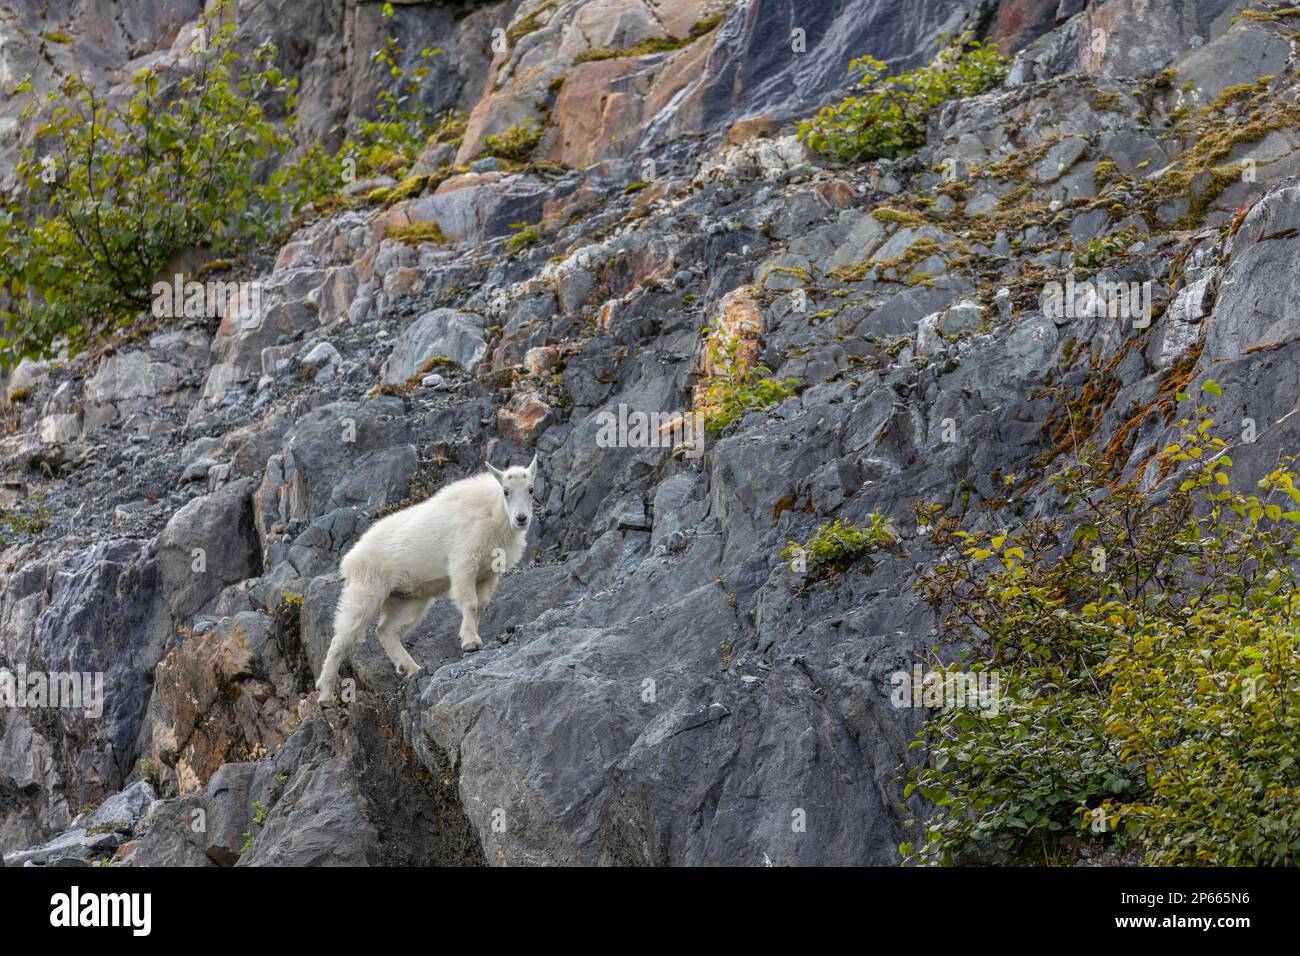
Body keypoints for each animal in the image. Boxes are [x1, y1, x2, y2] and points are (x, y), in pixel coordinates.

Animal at [314, 460, 538, 697]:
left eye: (531, 489)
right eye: (506, 491)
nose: (521, 518)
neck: (494, 514)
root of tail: (350, 559)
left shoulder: (488, 574)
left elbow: (481, 605)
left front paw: (472, 639)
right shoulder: (464, 563)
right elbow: (470, 603)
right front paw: (469, 642)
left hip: (410, 599)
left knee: (385, 631)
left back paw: (411, 668)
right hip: (366, 590)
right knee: (342, 638)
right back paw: (325, 693)